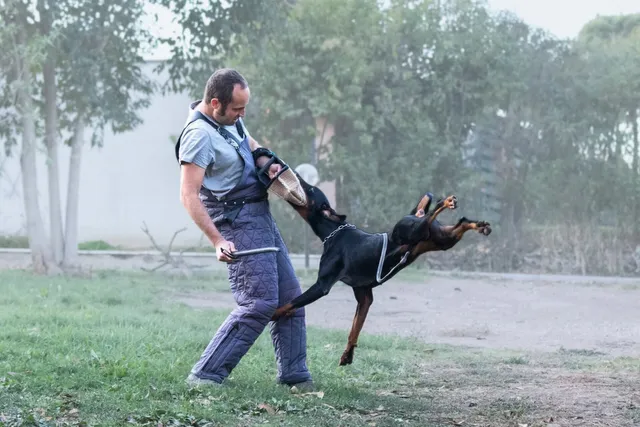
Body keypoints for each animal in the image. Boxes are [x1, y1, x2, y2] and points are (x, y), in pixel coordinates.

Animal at [270, 176, 490, 366]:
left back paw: (446, 202)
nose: (297, 177)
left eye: (310, 190)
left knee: (431, 213)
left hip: (414, 230)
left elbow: (290, 303)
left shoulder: (321, 285)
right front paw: (347, 354)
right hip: (443, 240)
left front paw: (272, 315)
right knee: (460, 222)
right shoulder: (364, 295)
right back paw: (480, 225)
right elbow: (354, 328)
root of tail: (415, 213)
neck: (334, 232)